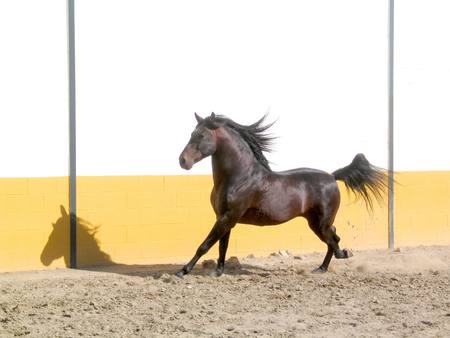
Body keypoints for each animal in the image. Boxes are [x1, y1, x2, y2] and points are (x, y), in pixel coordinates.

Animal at [177, 113, 386, 278]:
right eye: (191, 134)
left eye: (201, 135)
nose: (183, 161)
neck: (239, 176)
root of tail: (332, 177)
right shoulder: (224, 217)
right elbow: (222, 246)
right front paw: (218, 271)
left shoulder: (228, 217)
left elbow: (205, 245)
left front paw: (183, 271)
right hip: (315, 222)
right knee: (333, 238)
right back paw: (322, 268)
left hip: (321, 222)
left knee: (333, 239)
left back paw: (341, 256)